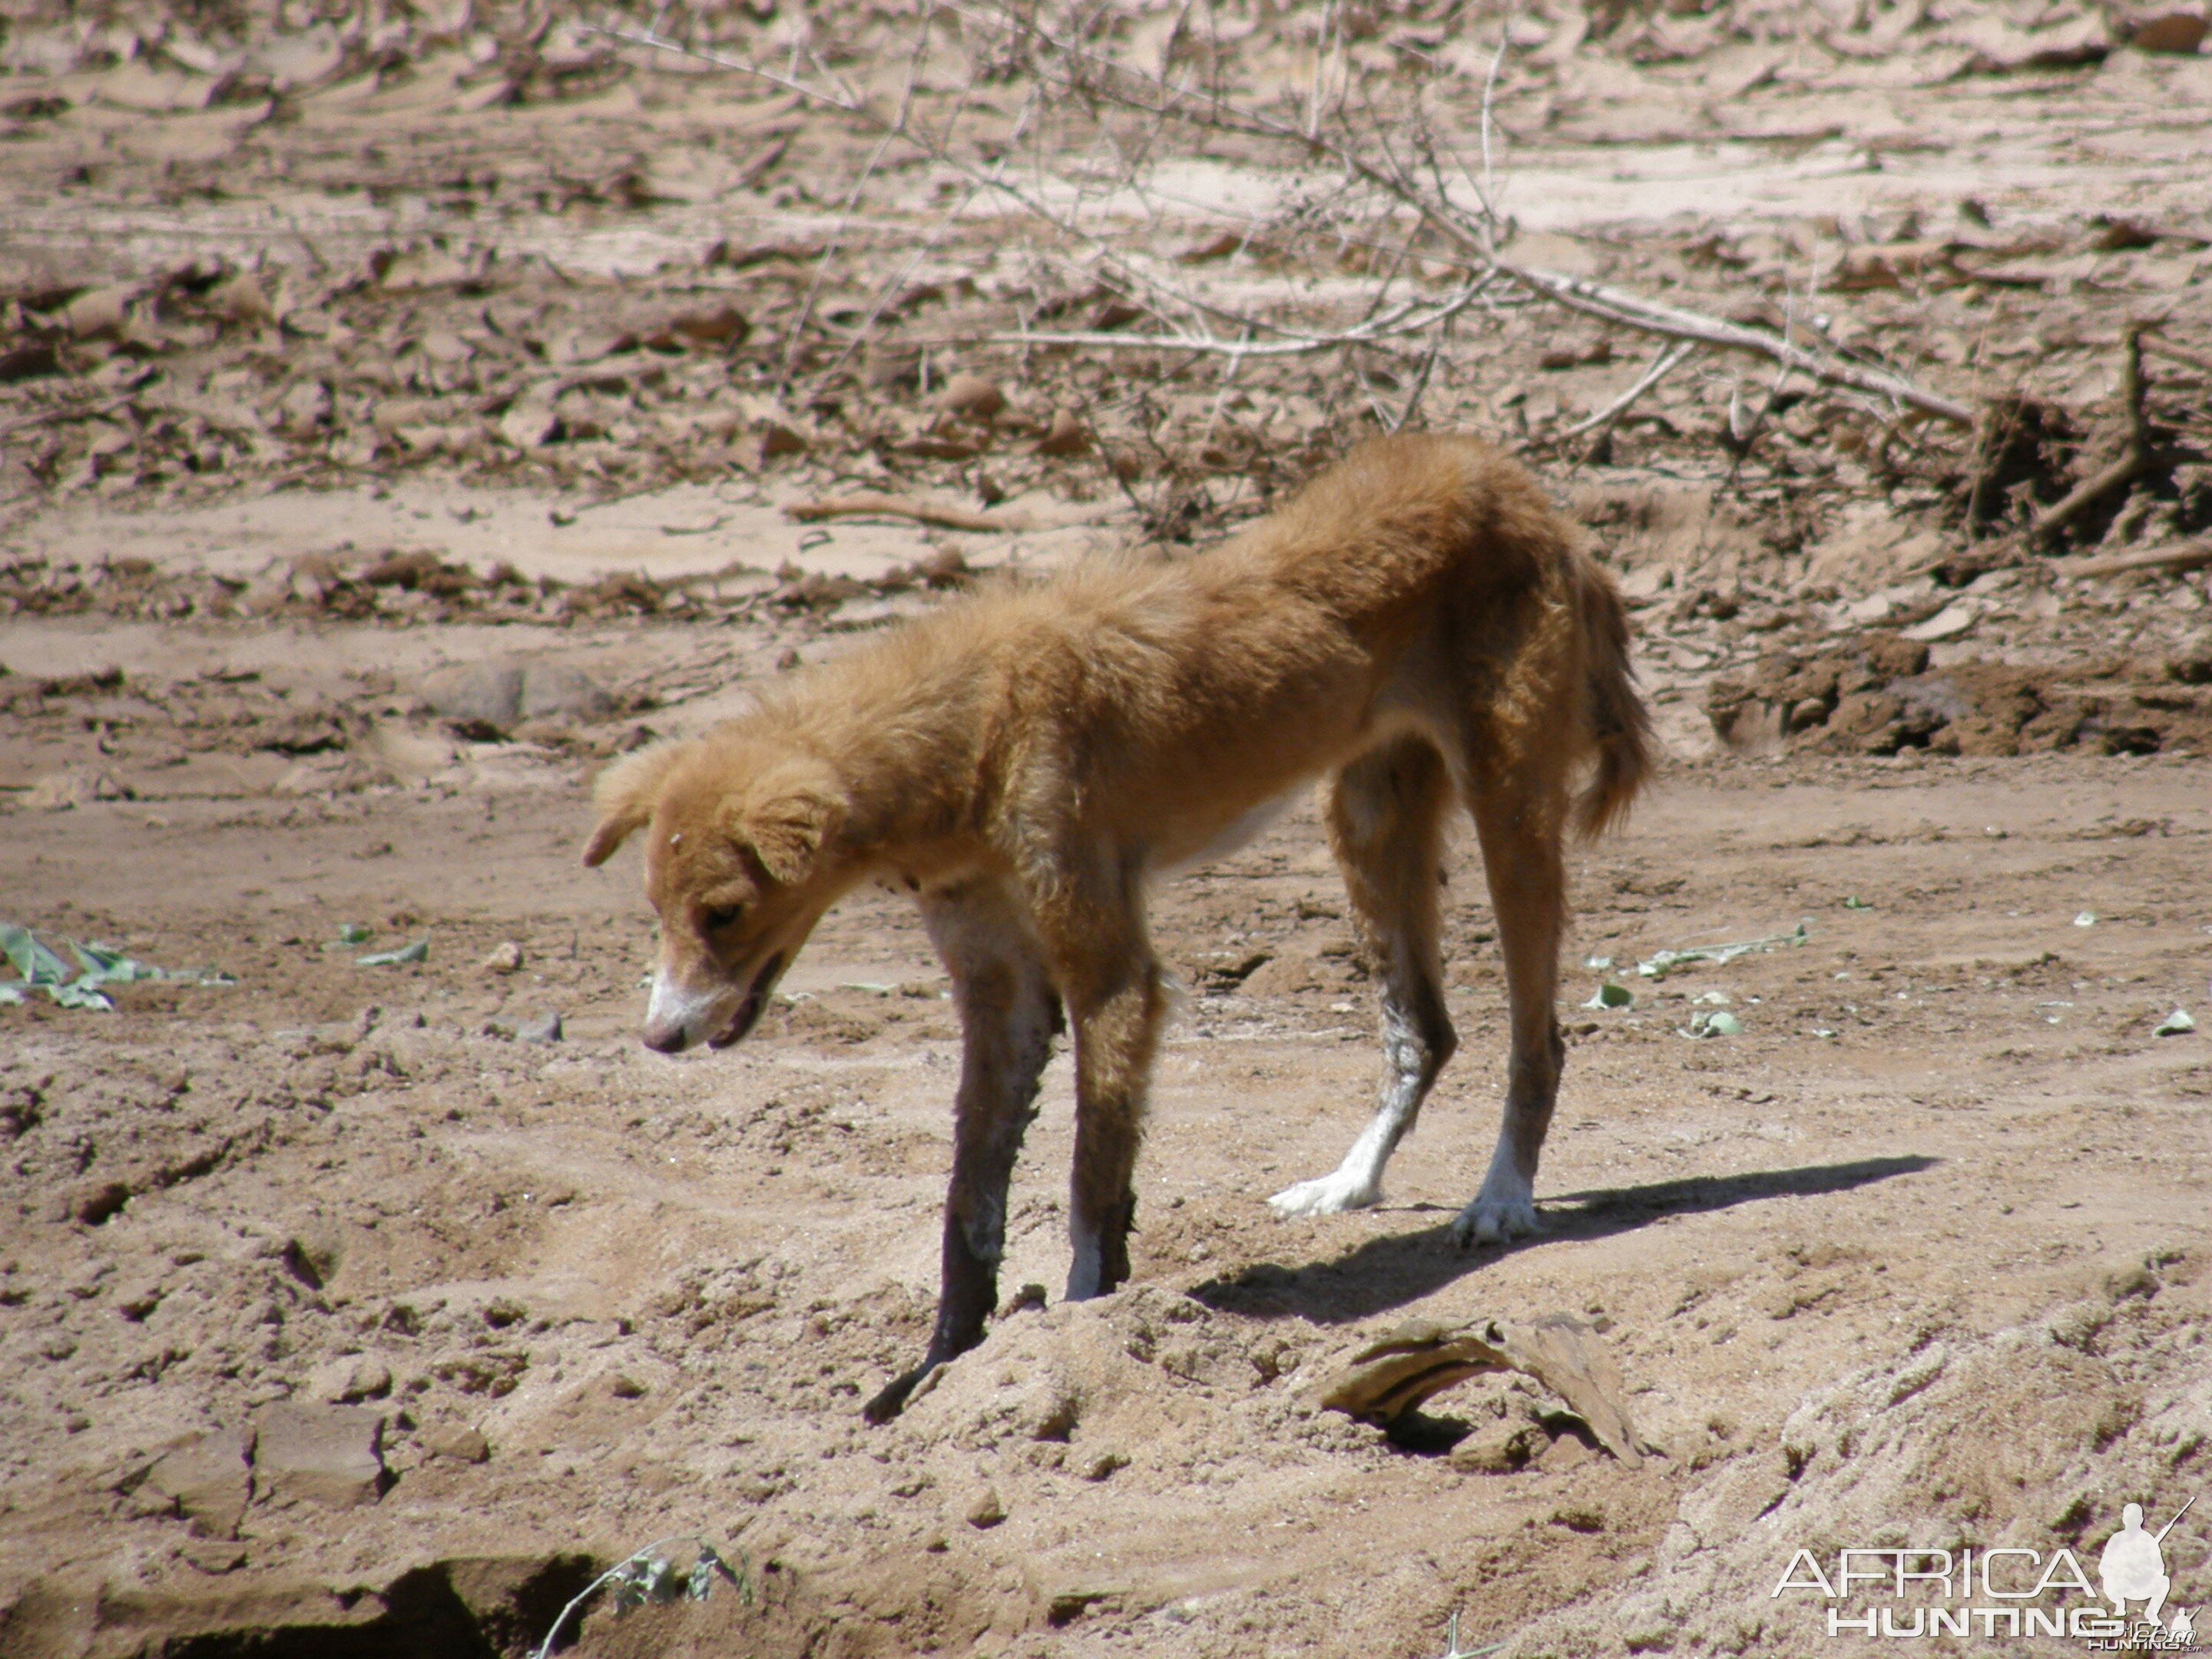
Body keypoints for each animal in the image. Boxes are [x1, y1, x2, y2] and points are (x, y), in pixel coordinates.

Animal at [579, 435, 1654, 1424]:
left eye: (723, 913)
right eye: (659, 915)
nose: (660, 1037)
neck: (977, 732)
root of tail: (1510, 480)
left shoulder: (1114, 979)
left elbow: (1091, 1187)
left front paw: (1082, 1326)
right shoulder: (1003, 1002)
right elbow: (967, 1213)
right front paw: (938, 1371)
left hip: (1509, 818)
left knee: (1538, 1041)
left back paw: (1502, 1197)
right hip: (1367, 823)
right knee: (1424, 1033)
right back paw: (1349, 1184)